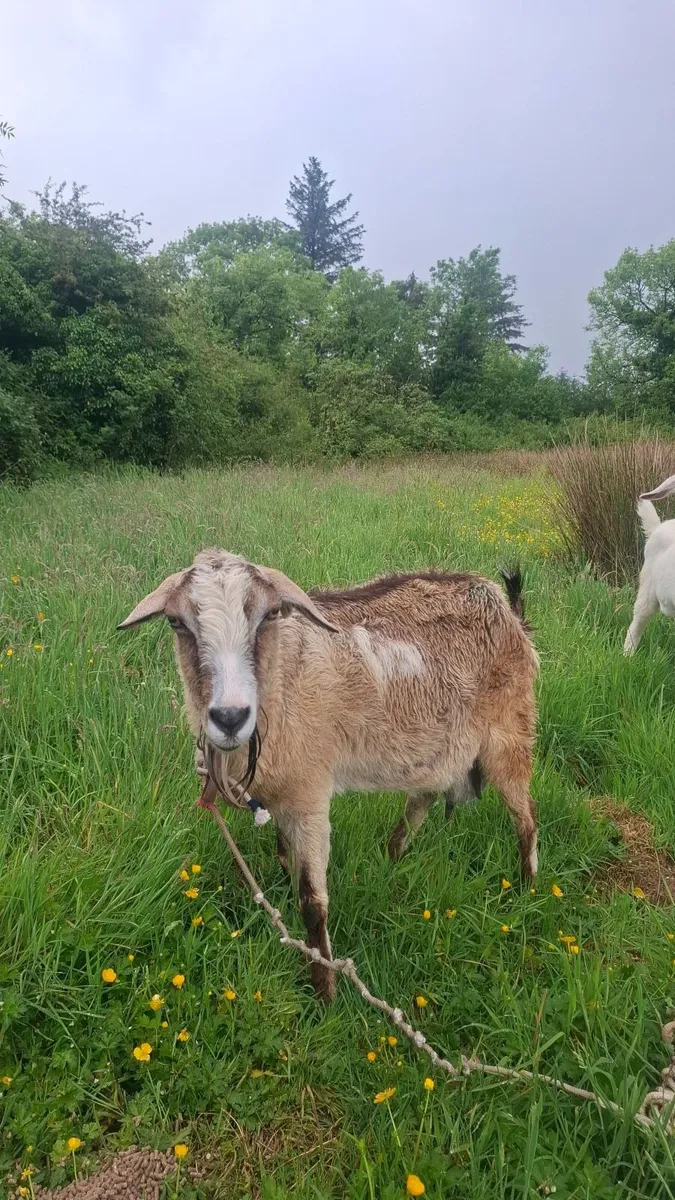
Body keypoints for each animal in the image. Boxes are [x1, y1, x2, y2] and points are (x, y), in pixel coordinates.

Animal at [119, 551, 539, 1001]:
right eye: (176, 622)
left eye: (269, 615)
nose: (229, 717)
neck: (285, 677)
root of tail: (509, 610)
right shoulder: (283, 792)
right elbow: (283, 854)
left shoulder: (310, 793)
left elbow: (312, 899)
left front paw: (325, 990)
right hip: (438, 747)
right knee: (422, 799)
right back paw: (392, 857)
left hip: (509, 732)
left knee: (526, 817)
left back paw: (527, 887)